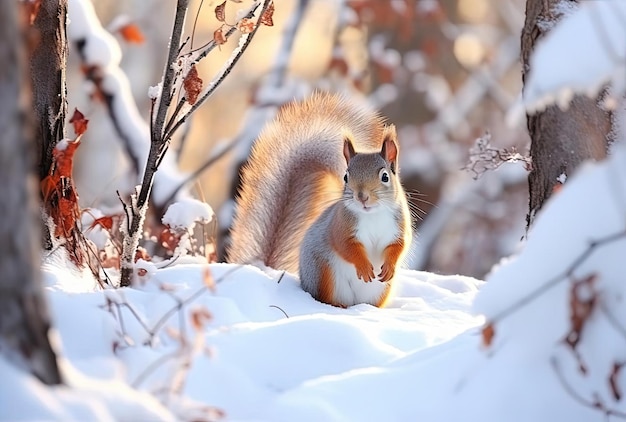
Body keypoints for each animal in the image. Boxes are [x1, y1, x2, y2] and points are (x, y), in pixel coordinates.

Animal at [227, 92, 412, 308]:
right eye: (346, 177)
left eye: (385, 177)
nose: (362, 196)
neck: (372, 215)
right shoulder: (340, 226)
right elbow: (345, 246)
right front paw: (364, 267)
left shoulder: (399, 226)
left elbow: (400, 245)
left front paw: (390, 266)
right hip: (324, 273)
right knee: (327, 298)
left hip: (380, 290)